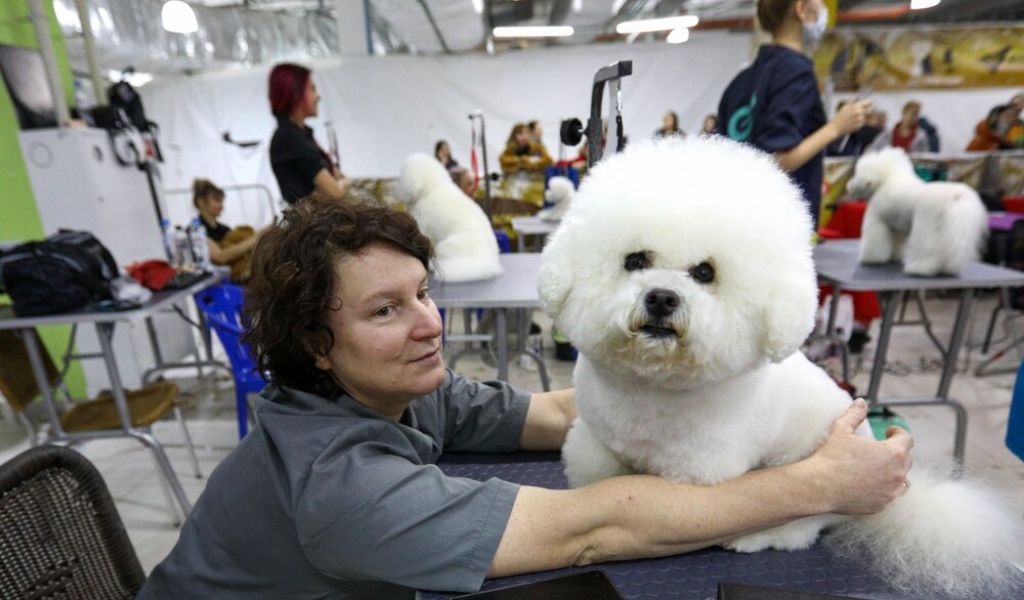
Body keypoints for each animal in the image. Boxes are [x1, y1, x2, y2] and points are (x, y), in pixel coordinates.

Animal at [847, 147, 983, 276]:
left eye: (856, 174)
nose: (848, 186)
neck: (885, 182)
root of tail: (954, 196)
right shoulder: (895, 227)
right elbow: (896, 244)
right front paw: (894, 257)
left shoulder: (877, 219)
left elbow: (874, 243)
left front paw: (870, 259)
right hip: (946, 230)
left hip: (926, 226)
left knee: (927, 251)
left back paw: (919, 269)